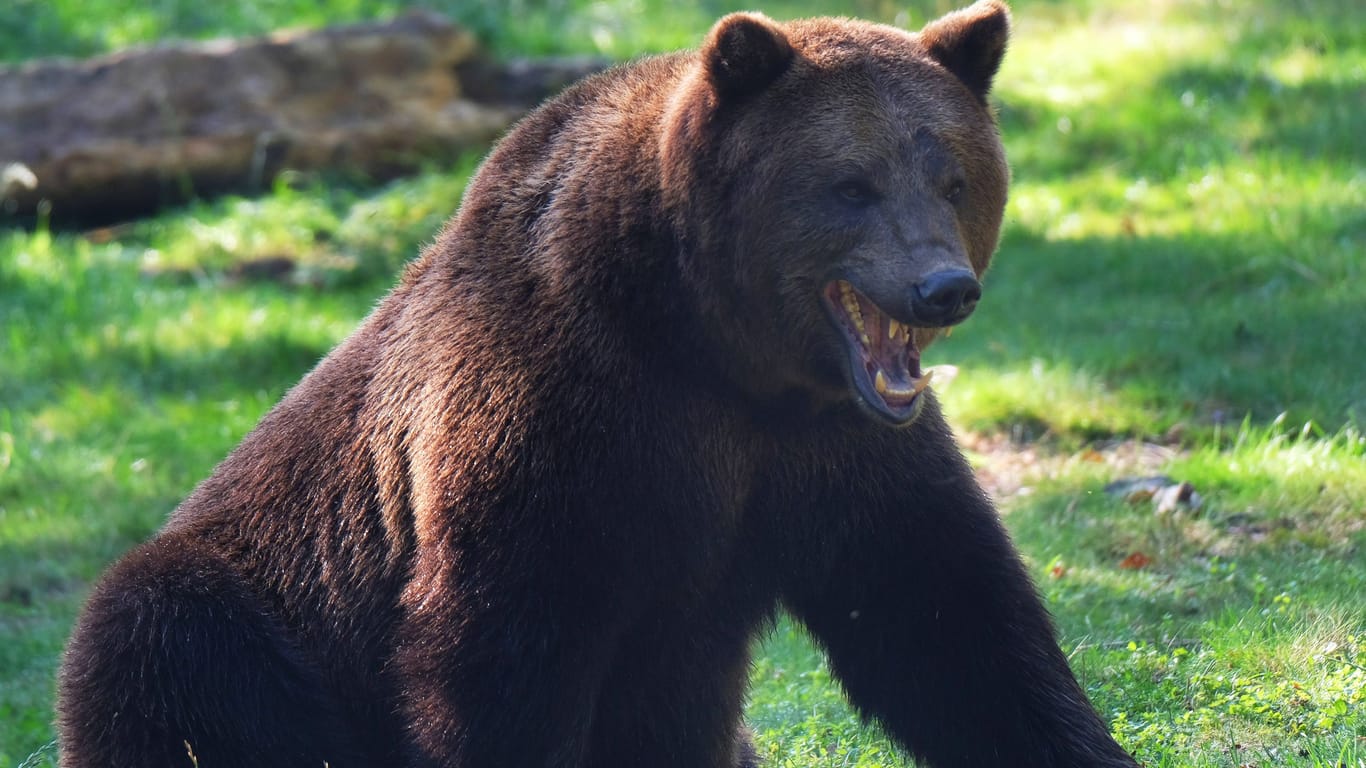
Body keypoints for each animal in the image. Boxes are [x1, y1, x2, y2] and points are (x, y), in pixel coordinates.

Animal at [58, 2, 1136, 759]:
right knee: (163, 643)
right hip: (253, 608)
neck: (714, 349)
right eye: (850, 184)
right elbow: (502, 651)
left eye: (952, 175)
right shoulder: (560, 420)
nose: (943, 285)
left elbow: (948, 625)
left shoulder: (833, 450)